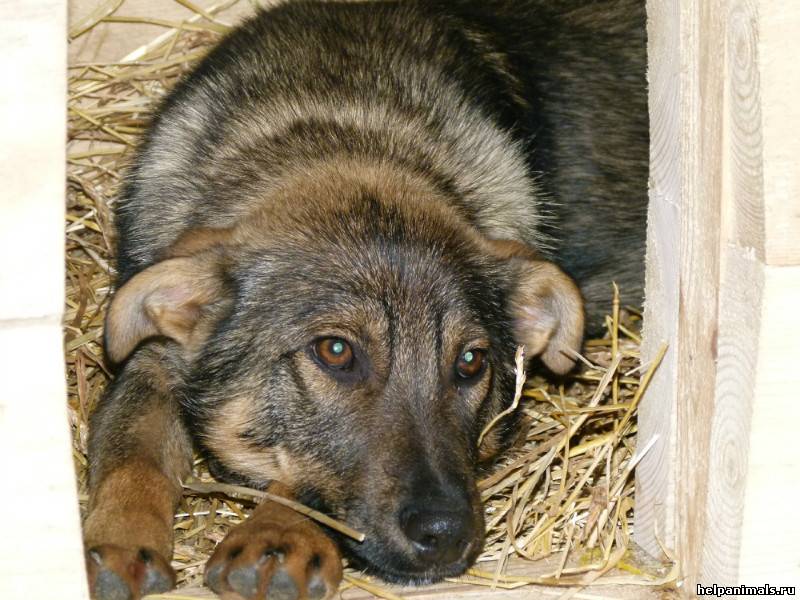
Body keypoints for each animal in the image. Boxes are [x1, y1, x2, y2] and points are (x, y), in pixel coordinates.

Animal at [83, 2, 644, 596]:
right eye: (335, 351)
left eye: (471, 362)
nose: (445, 533)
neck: (344, 126)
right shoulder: (149, 363)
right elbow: (130, 454)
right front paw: (115, 542)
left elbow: (300, 486)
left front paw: (277, 537)